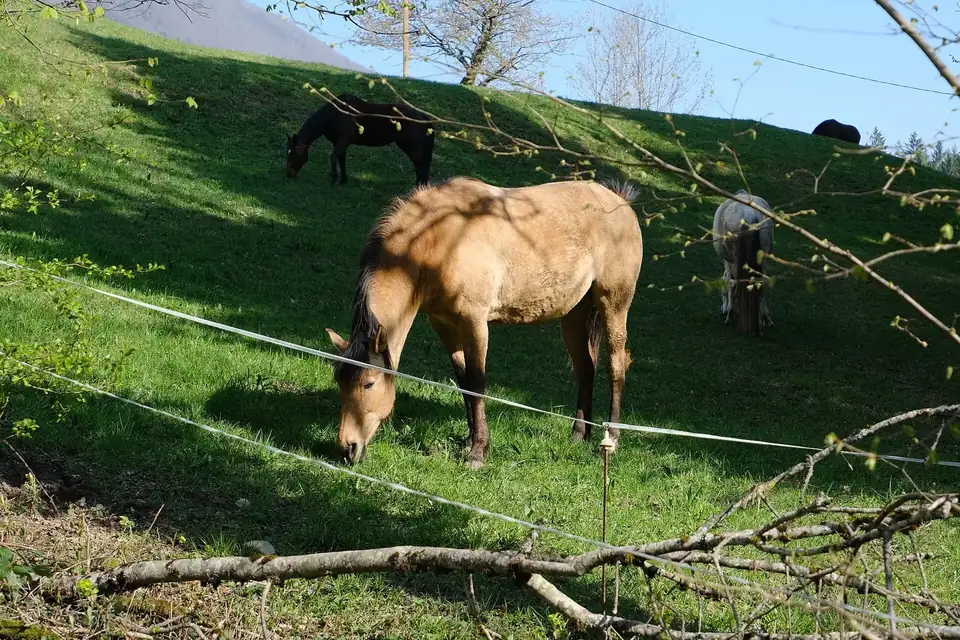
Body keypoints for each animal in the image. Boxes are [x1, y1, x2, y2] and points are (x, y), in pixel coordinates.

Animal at [285, 93, 435, 187]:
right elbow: (341, 159)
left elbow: (333, 158)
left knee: (420, 168)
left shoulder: (343, 141)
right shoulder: (340, 143)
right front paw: (343, 180)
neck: (336, 114)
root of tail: (424, 118)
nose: (289, 173)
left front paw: (334, 178)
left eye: (293, 153)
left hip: (413, 149)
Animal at [325, 176, 644, 469]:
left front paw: (477, 453)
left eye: (369, 383)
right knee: (585, 369)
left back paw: (612, 439)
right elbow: (464, 381)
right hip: (574, 314)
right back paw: (579, 434)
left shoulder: (474, 322)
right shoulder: (444, 325)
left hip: (614, 305)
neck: (438, 239)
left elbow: (477, 383)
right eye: (340, 380)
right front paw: (469, 441)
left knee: (615, 367)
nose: (347, 448)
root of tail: (620, 201)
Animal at [713, 189, 775, 335]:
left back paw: (730, 315)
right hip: (763, 258)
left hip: (734, 259)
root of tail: (749, 213)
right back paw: (765, 318)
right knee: (763, 281)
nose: (723, 308)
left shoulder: (728, 261)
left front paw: (728, 310)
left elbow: (728, 281)